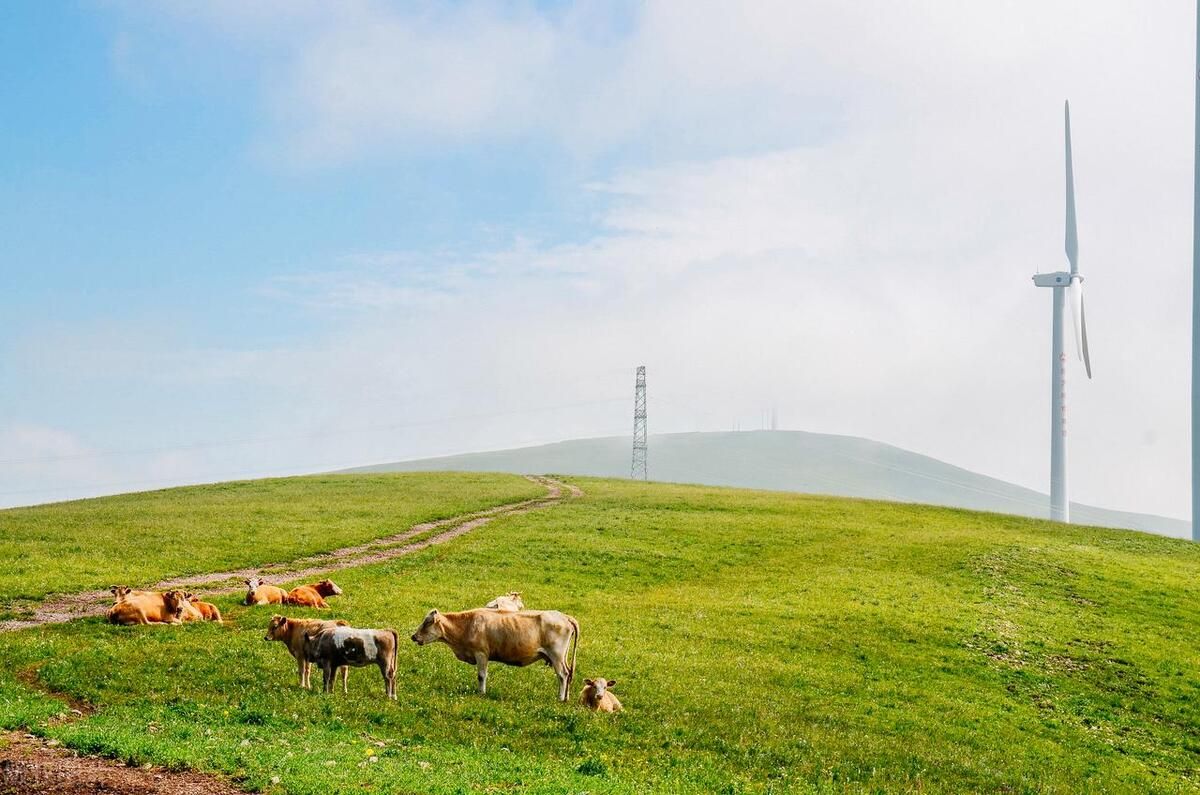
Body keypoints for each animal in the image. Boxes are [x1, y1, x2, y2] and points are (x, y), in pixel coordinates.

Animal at [412, 610, 580, 706]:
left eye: (427, 622)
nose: (413, 636)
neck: (467, 625)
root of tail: (564, 616)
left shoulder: (481, 654)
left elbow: (481, 675)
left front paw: (481, 693)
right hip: (562, 657)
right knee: (569, 674)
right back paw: (566, 697)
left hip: (556, 655)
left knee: (563, 675)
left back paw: (560, 698)